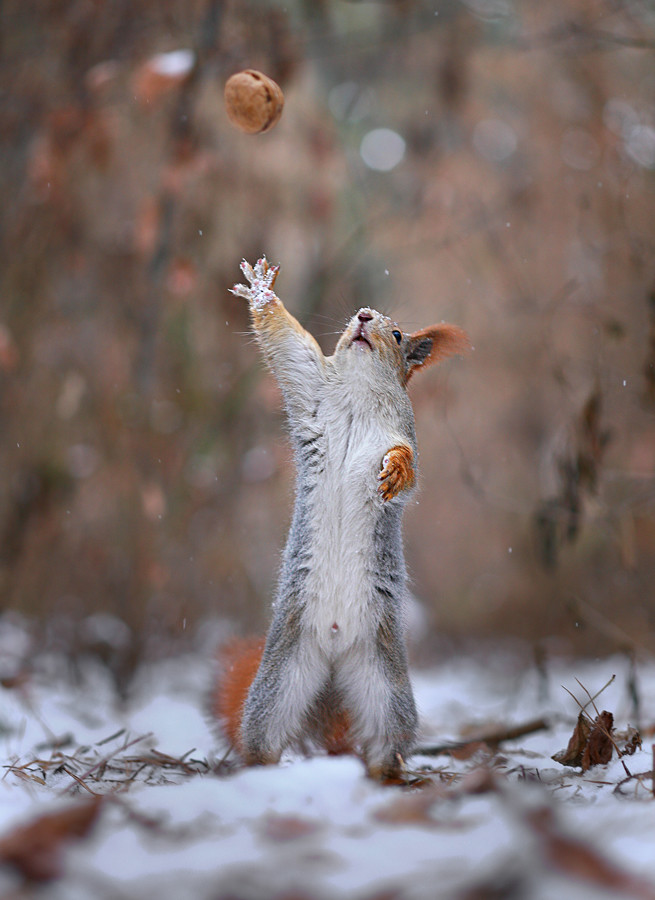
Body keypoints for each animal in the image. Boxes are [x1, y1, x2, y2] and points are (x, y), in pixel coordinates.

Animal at [213, 256, 468, 776]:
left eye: (398, 334)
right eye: (356, 315)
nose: (365, 317)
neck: (357, 390)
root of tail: (332, 655)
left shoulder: (403, 432)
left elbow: (408, 464)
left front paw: (395, 472)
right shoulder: (308, 384)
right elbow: (288, 345)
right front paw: (262, 293)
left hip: (384, 687)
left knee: (386, 742)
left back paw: (388, 777)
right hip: (281, 680)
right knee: (265, 737)